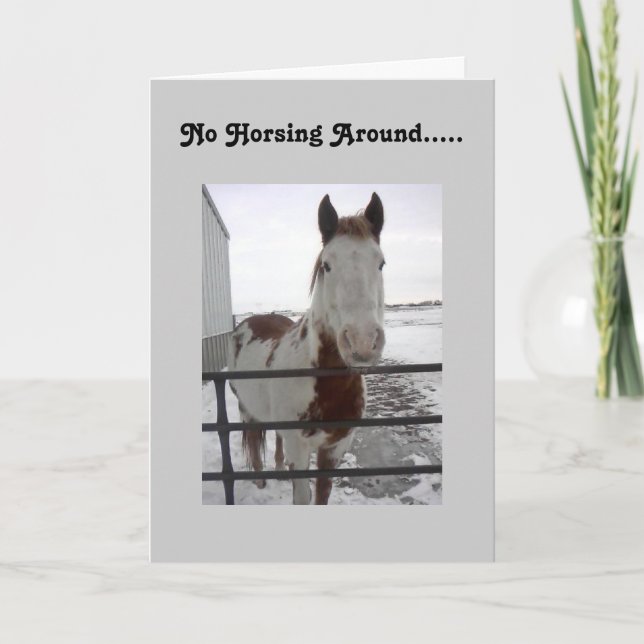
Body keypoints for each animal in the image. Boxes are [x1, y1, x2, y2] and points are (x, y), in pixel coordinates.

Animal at [228, 192, 386, 504]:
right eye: (327, 265)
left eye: (381, 264)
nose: (362, 342)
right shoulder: (299, 449)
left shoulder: (335, 447)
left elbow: (321, 494)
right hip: (247, 410)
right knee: (253, 441)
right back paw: (260, 482)